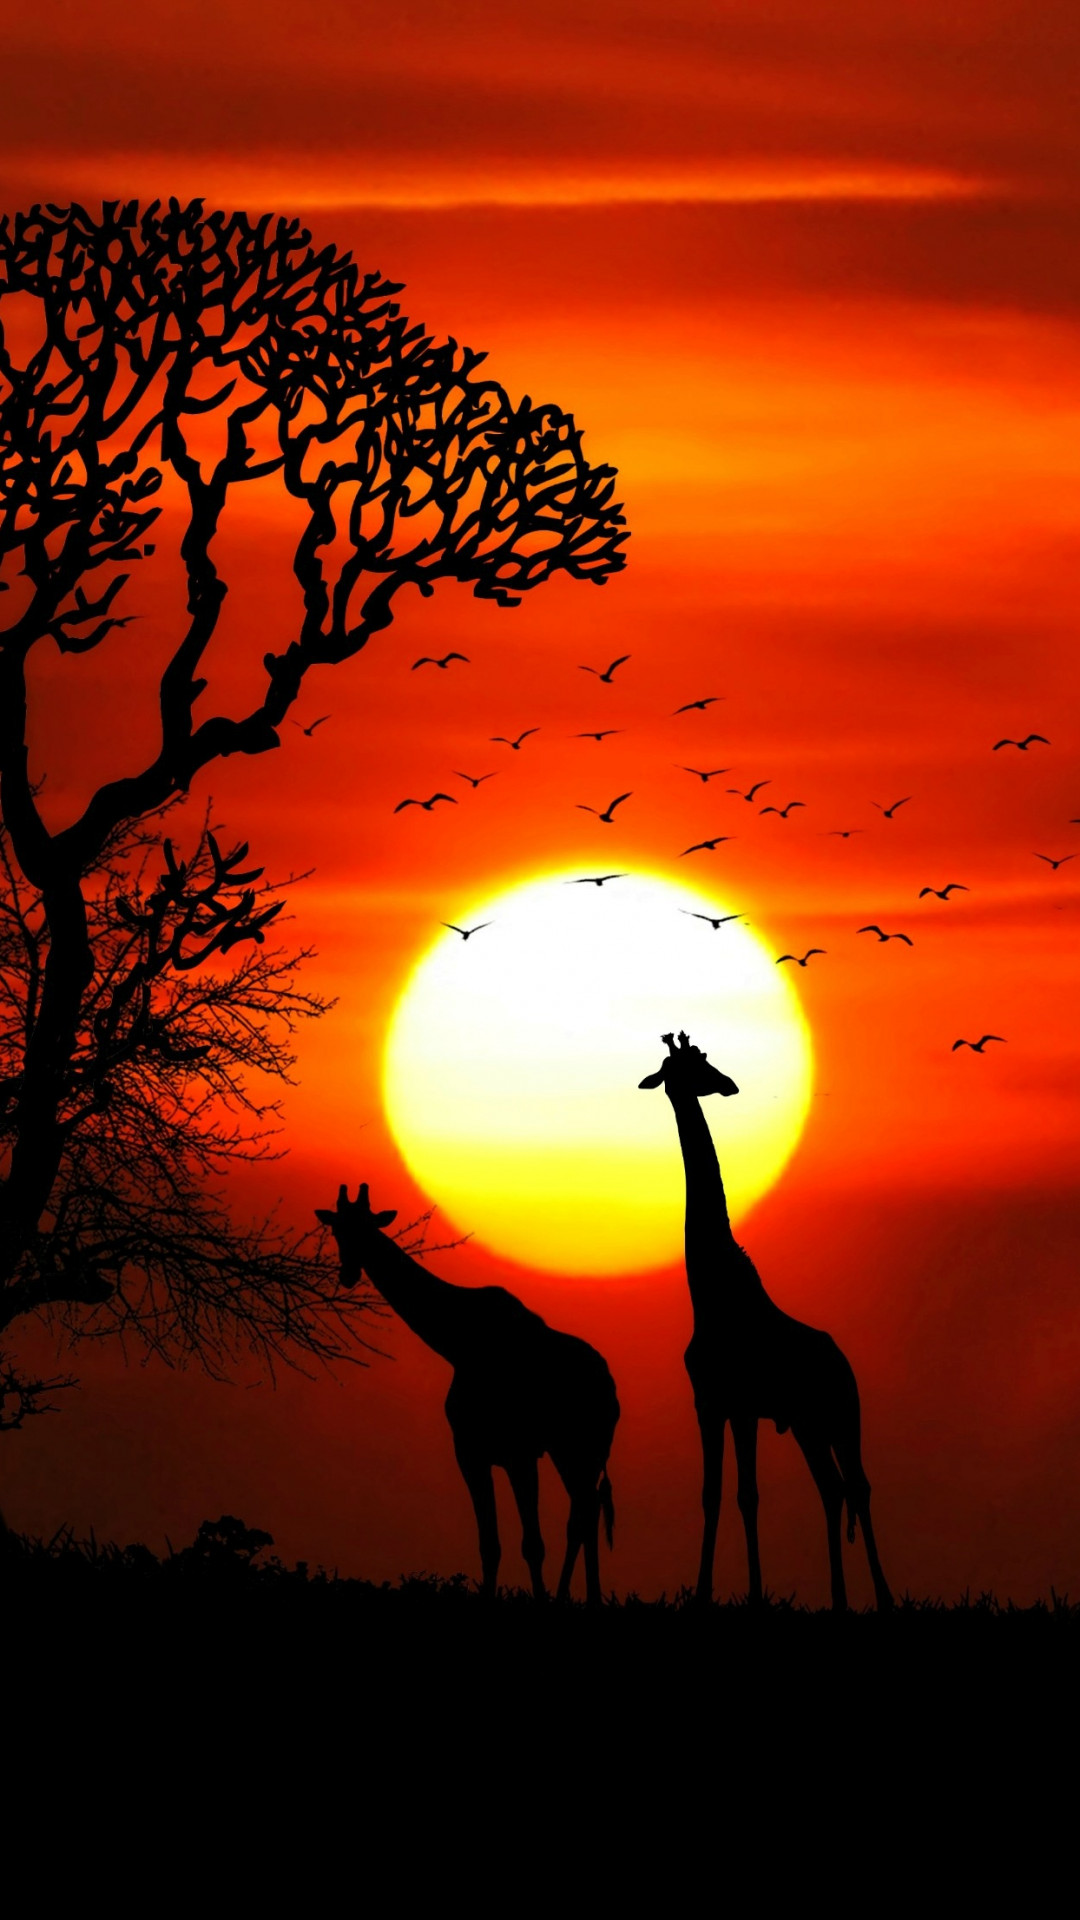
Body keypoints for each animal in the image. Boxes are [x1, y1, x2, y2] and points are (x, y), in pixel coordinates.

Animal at [316, 1183, 619, 1604]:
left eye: (368, 1228)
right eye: (337, 1230)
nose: (347, 1274)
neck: (459, 1343)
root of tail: (610, 1386)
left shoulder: (518, 1453)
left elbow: (532, 1544)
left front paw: (540, 1600)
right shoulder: (470, 1451)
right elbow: (489, 1544)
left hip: (582, 1448)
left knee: (583, 1515)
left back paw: (575, 1598)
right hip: (569, 1452)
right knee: (585, 1512)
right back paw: (579, 1597)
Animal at [640, 1032, 892, 1611]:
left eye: (704, 1059)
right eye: (688, 1066)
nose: (729, 1084)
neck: (709, 1293)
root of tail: (843, 1360)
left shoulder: (742, 1407)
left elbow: (747, 1495)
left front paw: (754, 1594)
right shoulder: (712, 1404)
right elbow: (713, 1494)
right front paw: (704, 1593)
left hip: (841, 1414)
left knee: (859, 1486)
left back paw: (884, 1596)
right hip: (806, 1423)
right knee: (832, 1488)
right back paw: (838, 1598)